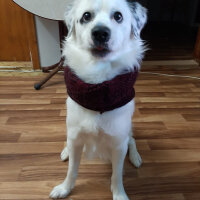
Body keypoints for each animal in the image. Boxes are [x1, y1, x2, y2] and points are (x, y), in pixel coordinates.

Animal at [50, 0, 147, 200]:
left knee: (132, 140)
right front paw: (65, 188)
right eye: (86, 16)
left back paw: (135, 157)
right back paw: (65, 151)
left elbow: (117, 175)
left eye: (118, 16)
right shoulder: (76, 137)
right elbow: (72, 170)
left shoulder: (118, 144)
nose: (100, 33)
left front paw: (119, 194)